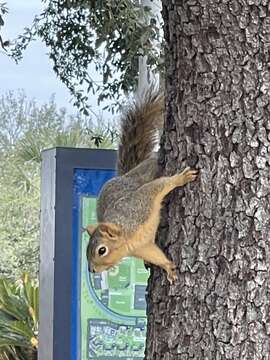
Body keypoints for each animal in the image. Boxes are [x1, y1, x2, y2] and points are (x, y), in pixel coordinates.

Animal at [87, 88, 198, 284]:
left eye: (102, 250)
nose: (91, 270)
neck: (128, 236)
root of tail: (125, 175)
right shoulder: (142, 247)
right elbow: (155, 254)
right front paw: (168, 267)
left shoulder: (141, 203)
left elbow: (159, 186)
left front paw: (180, 178)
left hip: (148, 171)